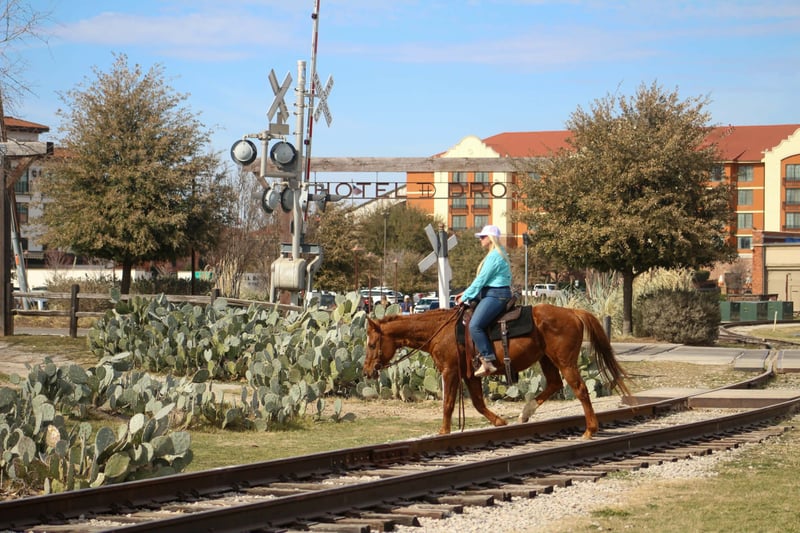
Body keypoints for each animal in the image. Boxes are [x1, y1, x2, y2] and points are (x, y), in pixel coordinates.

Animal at [363, 303, 630, 439]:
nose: (366, 371)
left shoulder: (450, 371)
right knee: (554, 384)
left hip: (565, 361)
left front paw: (443, 431)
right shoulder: (469, 375)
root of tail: (573, 312)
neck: (441, 330)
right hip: (546, 359)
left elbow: (448, 403)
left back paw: (590, 430)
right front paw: (500, 421)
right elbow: (478, 403)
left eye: (372, 344)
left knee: (581, 389)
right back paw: (525, 412)